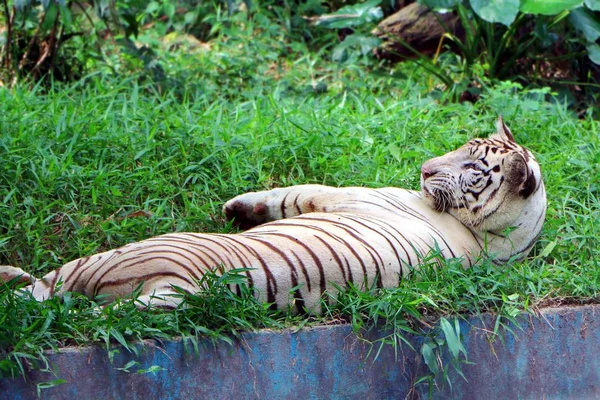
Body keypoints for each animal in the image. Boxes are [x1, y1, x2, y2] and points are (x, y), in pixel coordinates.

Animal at [0, 117, 548, 314]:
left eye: (473, 166)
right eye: (461, 146)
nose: (425, 168)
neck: (495, 241)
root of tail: (185, 288)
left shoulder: (340, 196)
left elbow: (294, 193)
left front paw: (236, 207)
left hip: (113, 259)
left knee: (40, 291)